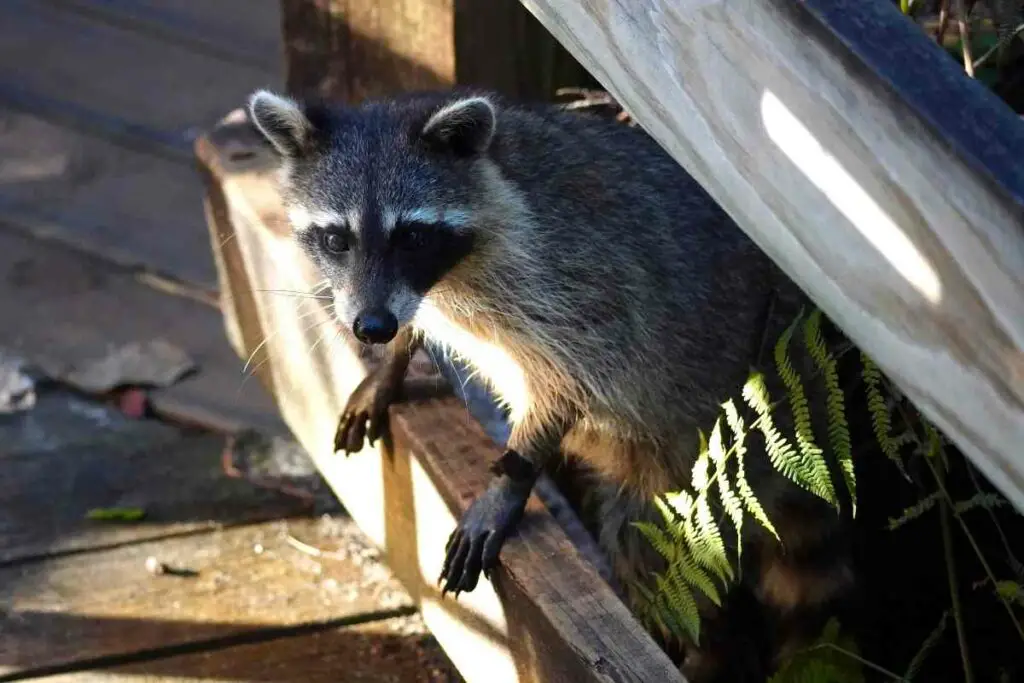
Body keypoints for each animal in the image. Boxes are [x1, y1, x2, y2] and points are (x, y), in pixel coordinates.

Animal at [247, 88, 856, 679]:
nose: (371, 328)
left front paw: (511, 477)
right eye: (336, 238)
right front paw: (392, 363)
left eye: (413, 236)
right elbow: (412, 321)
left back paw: (706, 652)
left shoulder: (571, 274)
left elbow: (575, 374)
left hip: (705, 453)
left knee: (654, 551)